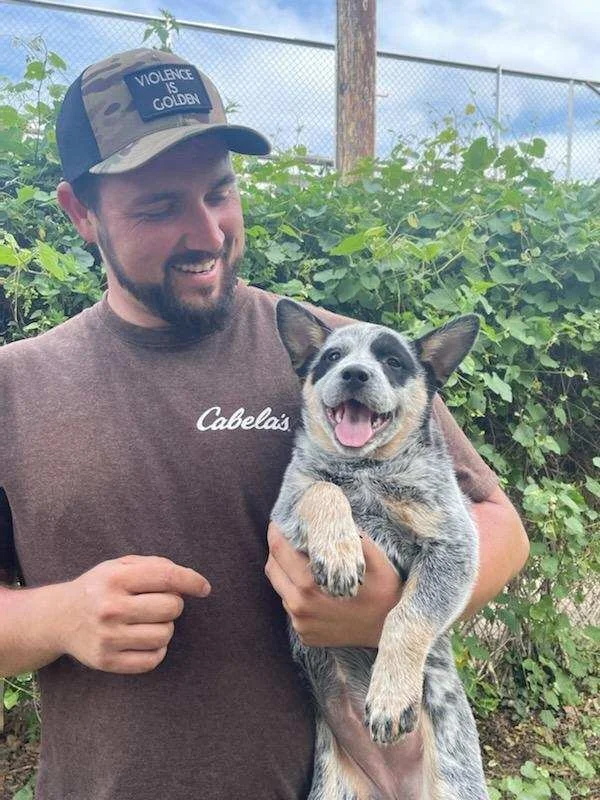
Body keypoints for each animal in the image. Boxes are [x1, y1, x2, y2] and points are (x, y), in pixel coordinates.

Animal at [272, 299, 489, 800]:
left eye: (393, 361)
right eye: (332, 357)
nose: (354, 373)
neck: (367, 472)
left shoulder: (455, 546)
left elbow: (407, 616)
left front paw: (390, 696)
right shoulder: (283, 513)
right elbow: (322, 489)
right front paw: (338, 550)